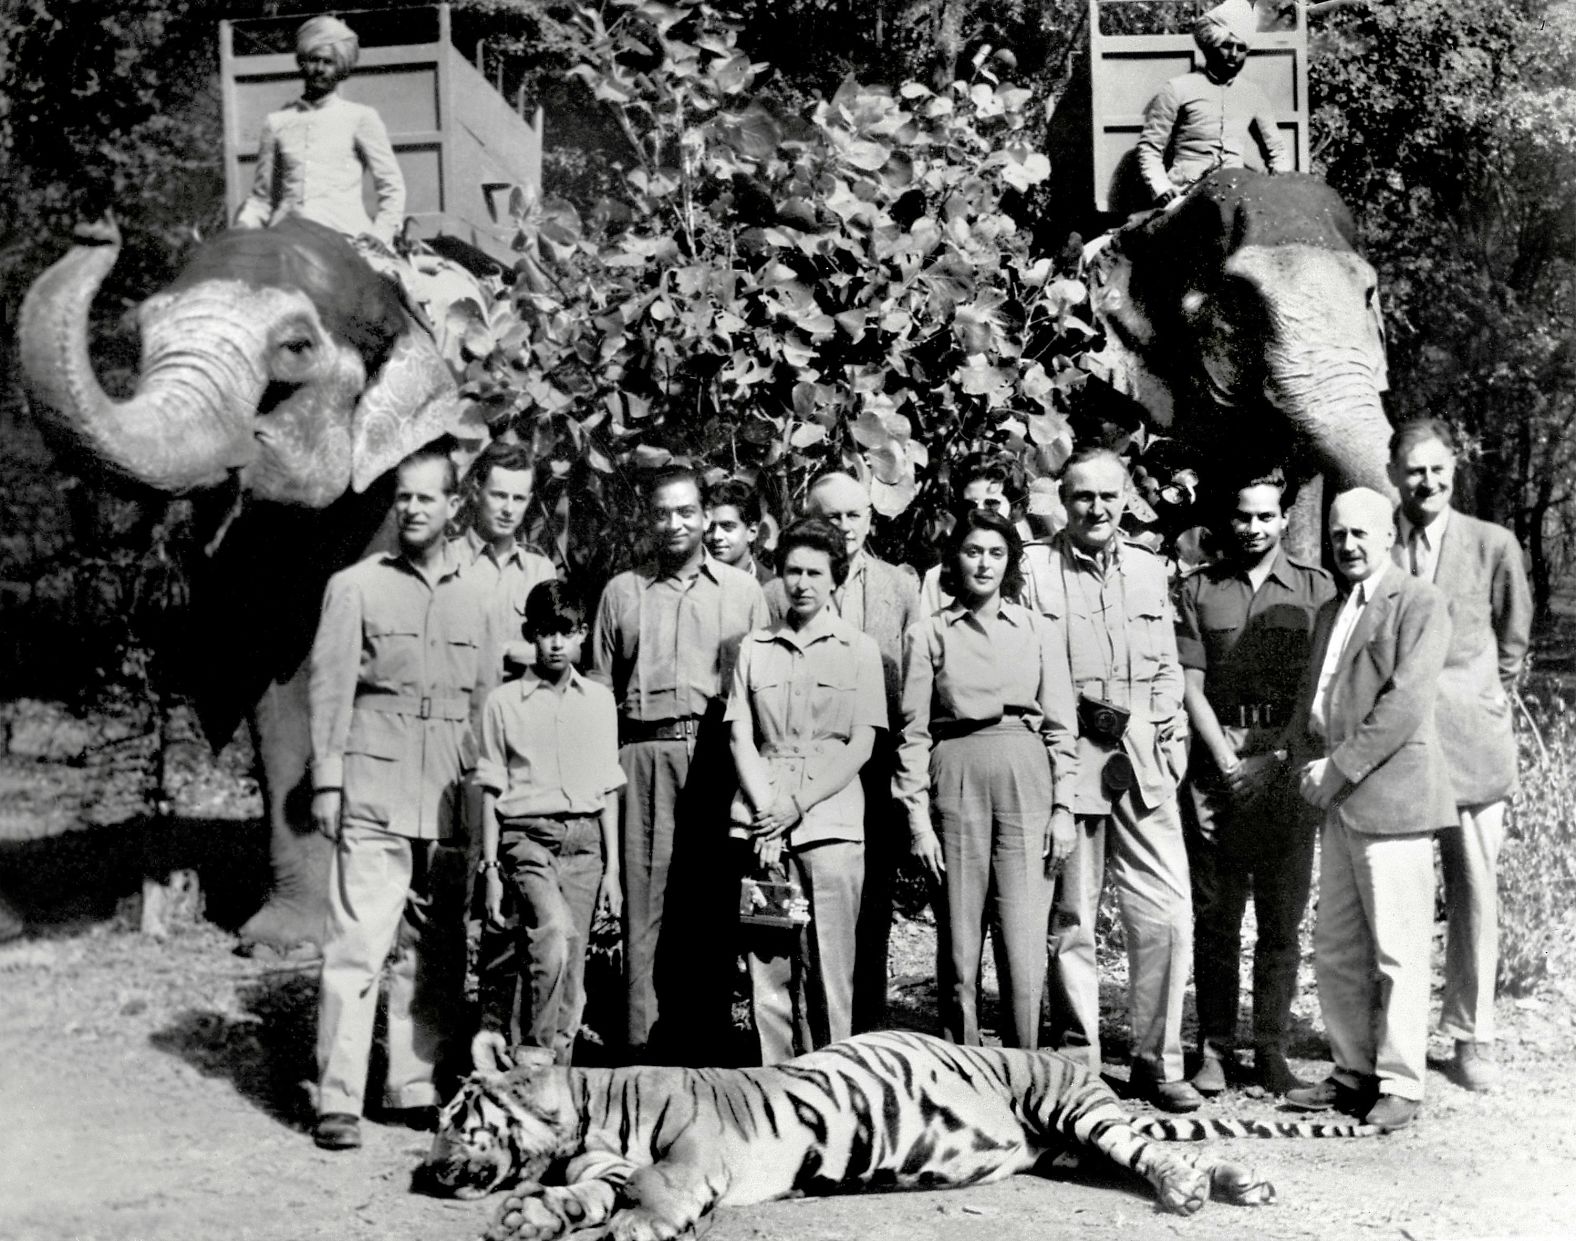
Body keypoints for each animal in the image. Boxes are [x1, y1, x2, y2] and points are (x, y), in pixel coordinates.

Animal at [18, 216, 485, 952]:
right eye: (142, 335)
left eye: (294, 349)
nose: (98, 231)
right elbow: (285, 695)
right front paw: (283, 938)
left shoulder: (391, 494)